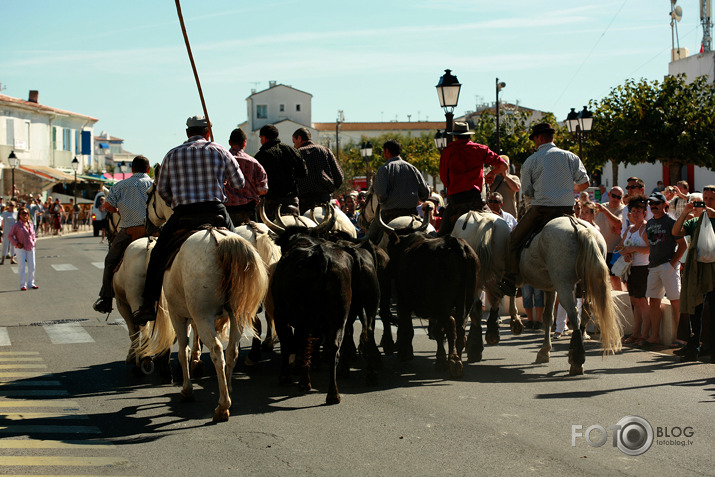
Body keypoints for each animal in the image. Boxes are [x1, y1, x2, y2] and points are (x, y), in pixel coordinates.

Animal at [516, 216, 624, 376]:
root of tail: (580, 228)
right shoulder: (551, 288)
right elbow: (548, 317)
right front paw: (544, 351)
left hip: (564, 285)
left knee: (574, 313)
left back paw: (577, 360)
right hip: (584, 284)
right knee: (585, 312)